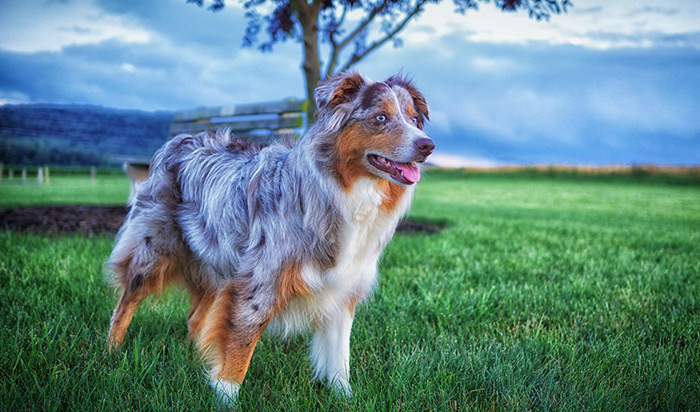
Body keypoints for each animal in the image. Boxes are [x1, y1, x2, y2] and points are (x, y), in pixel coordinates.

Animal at [106, 71, 434, 402]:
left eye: (413, 119)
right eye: (381, 117)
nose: (428, 146)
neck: (345, 190)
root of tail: (179, 139)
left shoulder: (343, 286)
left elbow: (339, 355)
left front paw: (345, 398)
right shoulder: (260, 283)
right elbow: (239, 349)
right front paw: (226, 398)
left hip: (216, 261)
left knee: (195, 318)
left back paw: (194, 360)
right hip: (154, 247)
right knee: (126, 303)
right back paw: (111, 353)